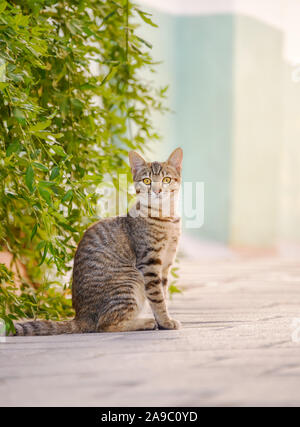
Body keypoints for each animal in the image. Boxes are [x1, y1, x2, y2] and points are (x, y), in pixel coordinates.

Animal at [11, 149, 183, 336]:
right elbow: (157, 298)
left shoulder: (165, 265)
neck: (165, 218)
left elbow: (162, 294)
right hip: (129, 281)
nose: (157, 190)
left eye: (166, 179)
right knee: (105, 325)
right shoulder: (149, 263)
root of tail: (81, 316)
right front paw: (165, 321)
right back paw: (145, 322)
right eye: (147, 181)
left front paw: (164, 319)